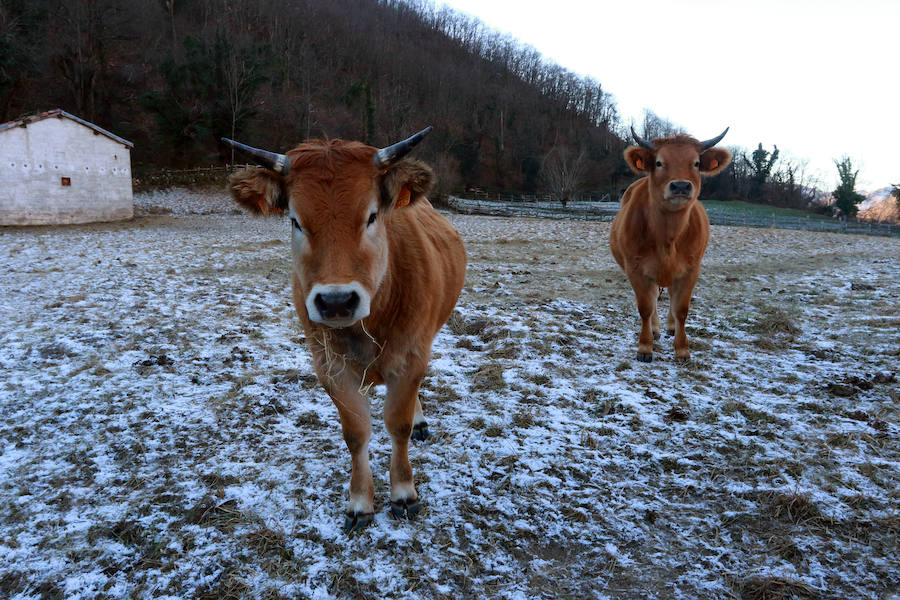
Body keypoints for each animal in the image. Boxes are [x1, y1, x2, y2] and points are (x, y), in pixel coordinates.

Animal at [221, 129, 468, 532]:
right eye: (295, 220)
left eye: (372, 216)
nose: (336, 301)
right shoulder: (328, 366)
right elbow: (355, 433)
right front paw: (359, 502)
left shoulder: (412, 355)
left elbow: (398, 425)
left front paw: (404, 493)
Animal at [612, 126, 732, 360]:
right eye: (659, 162)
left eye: (696, 163)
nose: (681, 186)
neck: (668, 238)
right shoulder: (636, 269)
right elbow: (646, 307)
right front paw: (645, 346)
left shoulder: (691, 269)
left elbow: (681, 309)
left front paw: (682, 349)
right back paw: (656, 329)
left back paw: (670, 327)